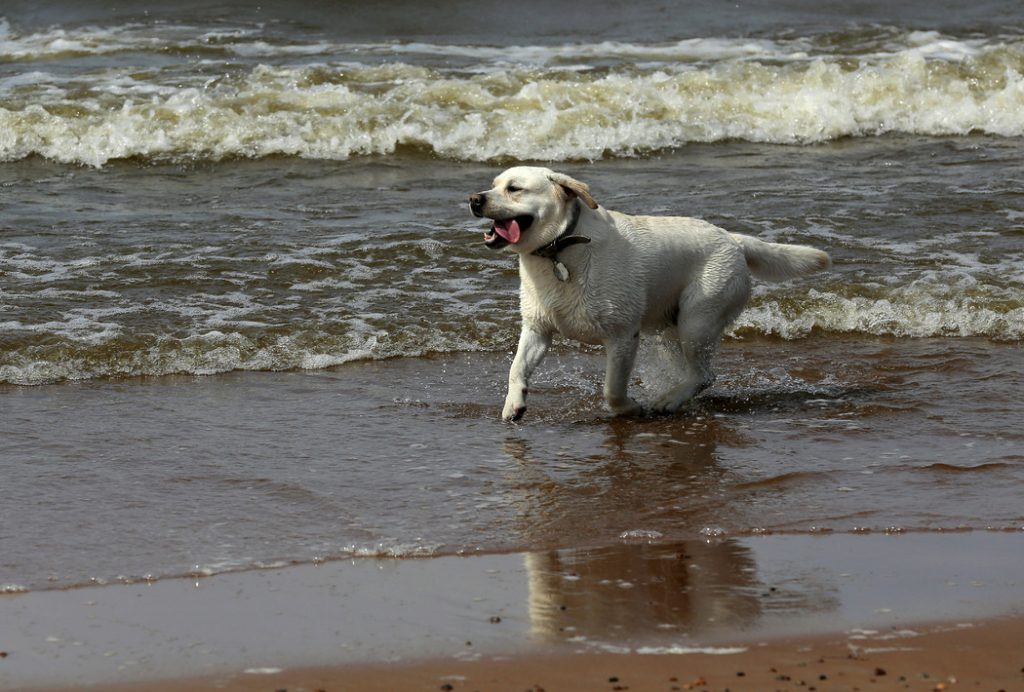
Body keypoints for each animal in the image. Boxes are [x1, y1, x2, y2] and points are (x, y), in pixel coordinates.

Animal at [471, 165, 831, 421]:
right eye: (493, 184)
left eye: (514, 189)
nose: (474, 199)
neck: (561, 248)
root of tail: (734, 239)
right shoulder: (537, 329)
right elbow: (516, 368)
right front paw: (514, 404)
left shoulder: (622, 335)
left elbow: (612, 389)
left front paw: (630, 409)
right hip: (672, 328)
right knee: (693, 372)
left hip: (698, 321)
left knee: (704, 374)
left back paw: (668, 400)